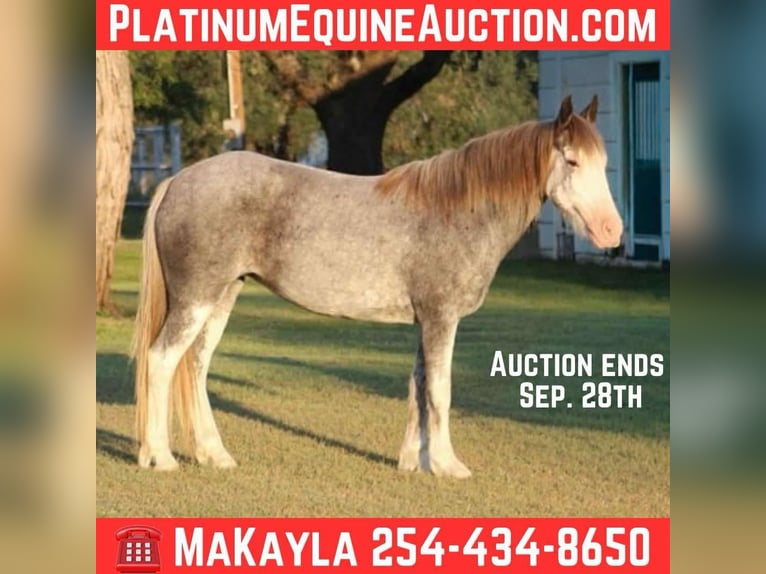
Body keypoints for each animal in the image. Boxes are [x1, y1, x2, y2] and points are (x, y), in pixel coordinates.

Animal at [132, 95, 623, 477]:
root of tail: (178, 179)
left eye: (604, 163)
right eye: (572, 161)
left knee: (195, 366)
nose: (612, 232)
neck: (456, 210)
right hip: (196, 300)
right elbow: (440, 391)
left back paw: (214, 455)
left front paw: (414, 462)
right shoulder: (441, 318)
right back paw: (159, 457)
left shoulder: (426, 320)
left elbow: (418, 385)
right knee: (161, 360)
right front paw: (447, 465)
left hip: (221, 298)